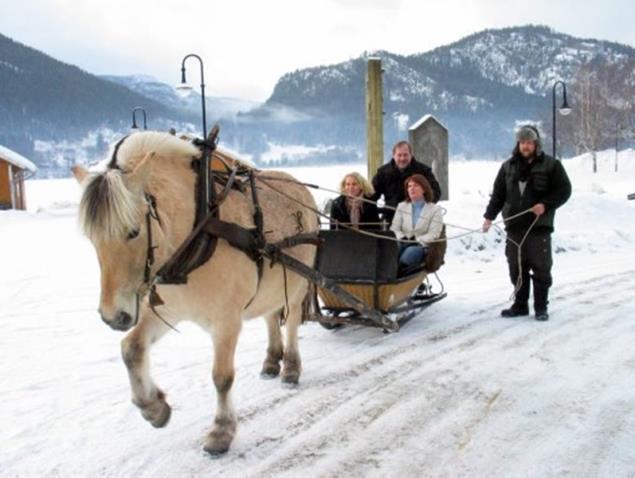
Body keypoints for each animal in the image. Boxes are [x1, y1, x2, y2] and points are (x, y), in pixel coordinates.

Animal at [72, 132, 320, 456]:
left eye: (133, 231)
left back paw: (290, 367)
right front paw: (153, 408)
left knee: (289, 321)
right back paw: (271, 362)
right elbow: (131, 348)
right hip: (271, 284)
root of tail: (300, 186)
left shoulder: (227, 321)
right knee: (269, 317)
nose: (112, 317)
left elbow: (222, 377)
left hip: (299, 282)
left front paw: (221, 432)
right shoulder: (168, 309)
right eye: (91, 238)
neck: (199, 228)